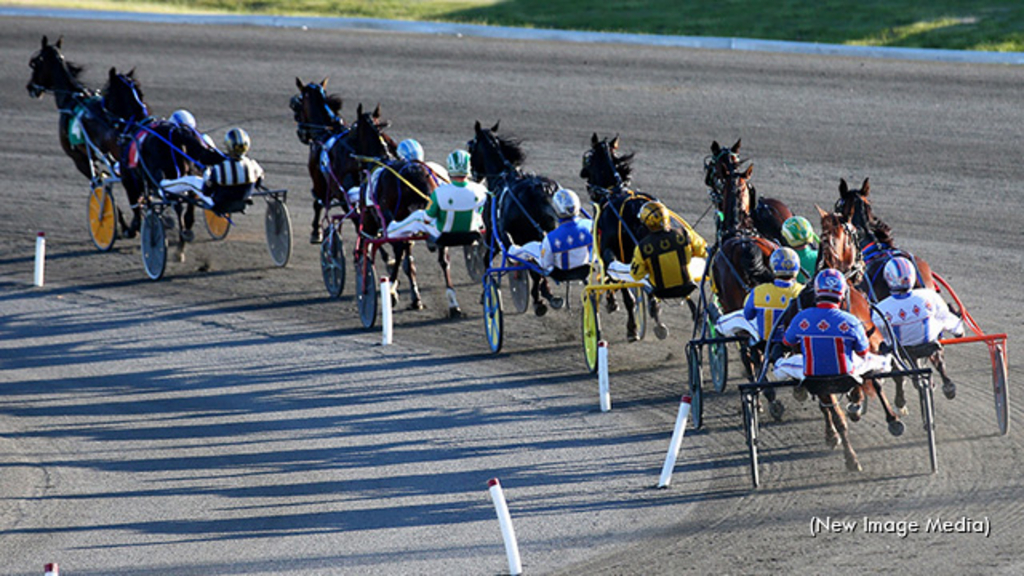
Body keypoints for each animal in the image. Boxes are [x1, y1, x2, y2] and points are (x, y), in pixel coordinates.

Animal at [25, 34, 136, 235]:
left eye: (35, 63)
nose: (30, 87)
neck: (71, 99)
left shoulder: (80, 160)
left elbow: (100, 184)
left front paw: (115, 221)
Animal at [107, 69, 225, 260]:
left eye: (106, 92)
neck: (136, 126)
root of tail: (177, 132)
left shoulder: (129, 178)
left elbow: (135, 203)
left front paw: (133, 229)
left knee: (178, 206)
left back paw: (179, 247)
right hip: (189, 174)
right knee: (189, 209)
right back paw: (184, 236)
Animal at [348, 105, 452, 315]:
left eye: (354, 129)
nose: (349, 150)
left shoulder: (371, 221)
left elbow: (371, 246)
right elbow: (408, 260)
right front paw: (415, 297)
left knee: (398, 250)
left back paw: (391, 290)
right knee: (441, 257)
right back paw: (453, 304)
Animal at [468, 120, 565, 315]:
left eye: (471, 148)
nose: (474, 174)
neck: (501, 177)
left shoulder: (494, 234)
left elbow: (487, 261)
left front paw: (486, 293)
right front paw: (546, 292)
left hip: (523, 236)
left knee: (534, 268)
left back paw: (538, 300)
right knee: (539, 266)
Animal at [581, 132, 692, 338]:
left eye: (588, 158)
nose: (583, 174)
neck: (613, 191)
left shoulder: (609, 251)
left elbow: (614, 280)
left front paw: (613, 304)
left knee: (628, 292)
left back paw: (635, 325)